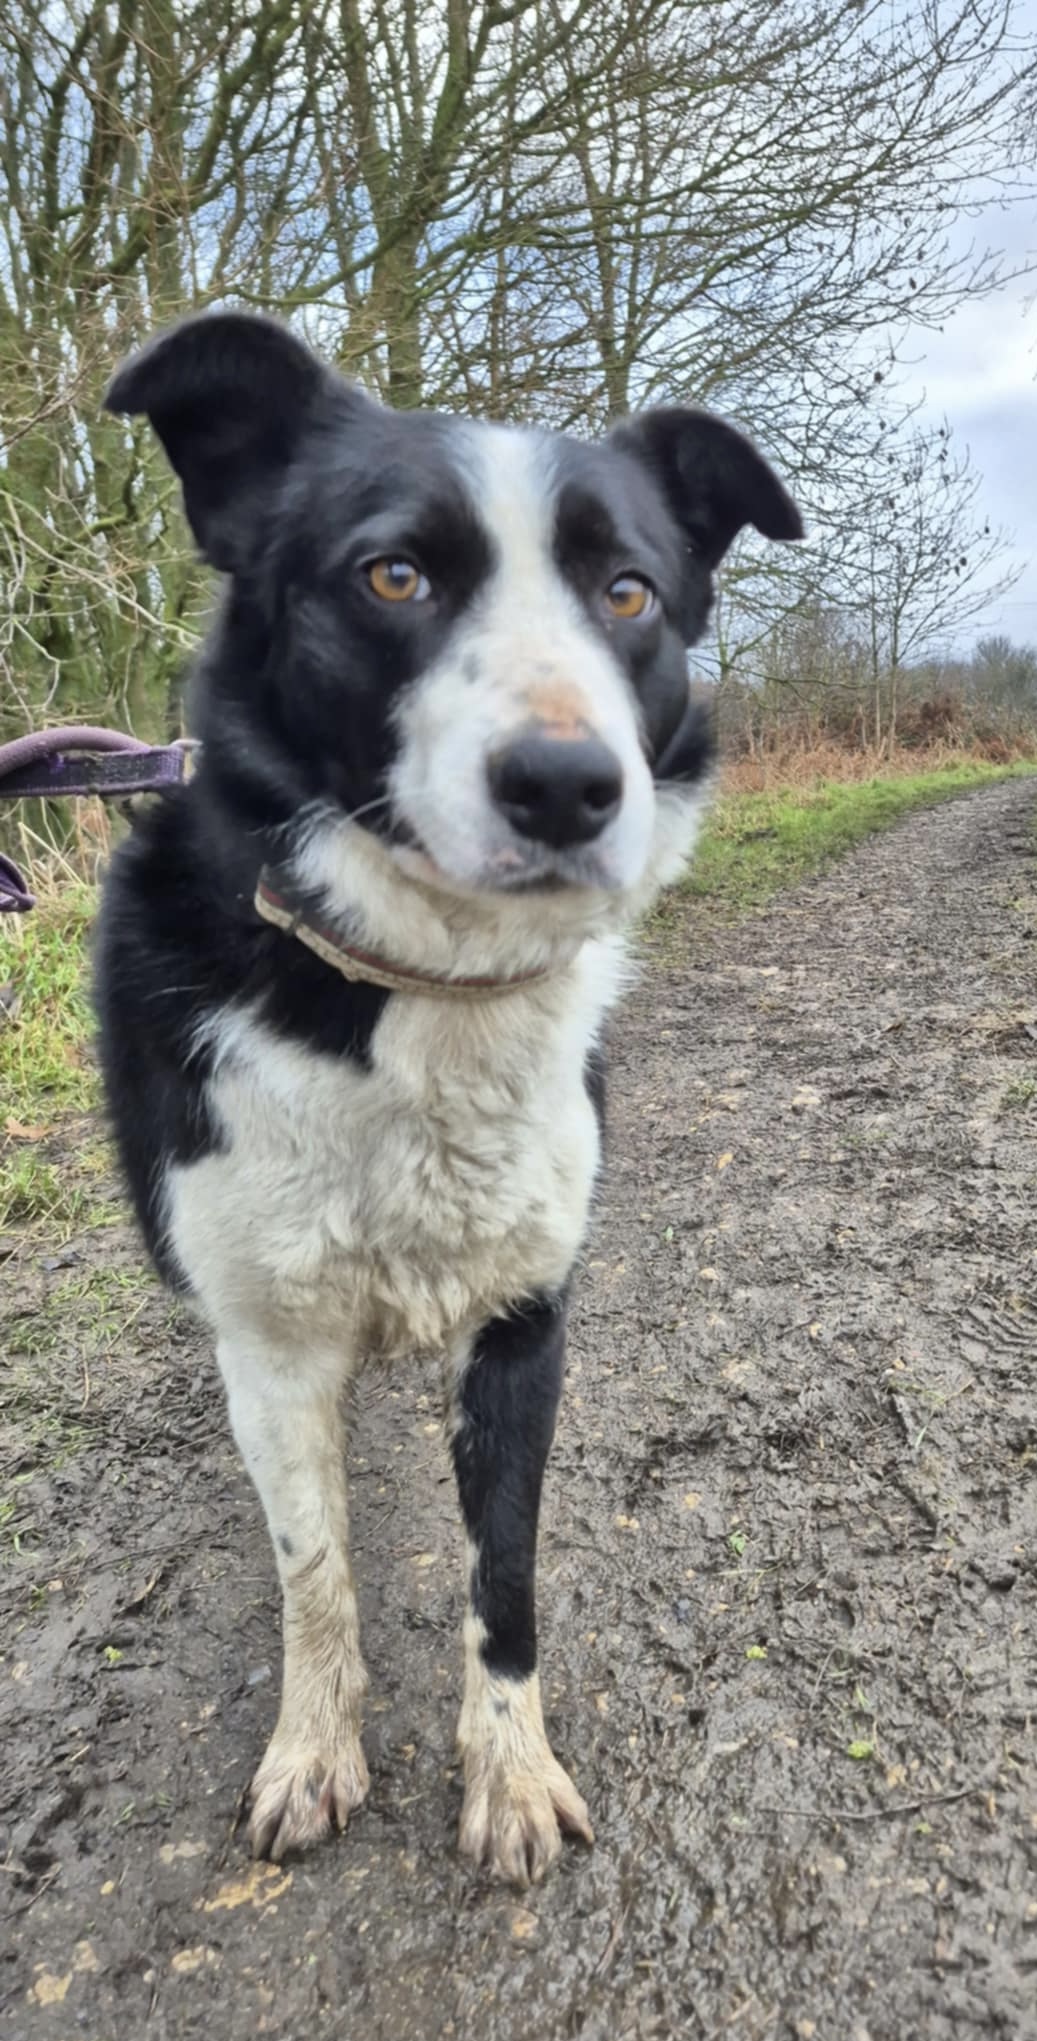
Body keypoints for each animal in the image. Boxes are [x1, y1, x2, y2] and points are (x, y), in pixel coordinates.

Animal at [94, 311, 802, 1886]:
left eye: (626, 591)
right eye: (393, 575)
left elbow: (508, 1578)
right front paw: (312, 1749)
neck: (418, 987)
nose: (566, 785)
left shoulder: (525, 1323)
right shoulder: (274, 1345)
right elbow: (315, 1573)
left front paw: (511, 1771)